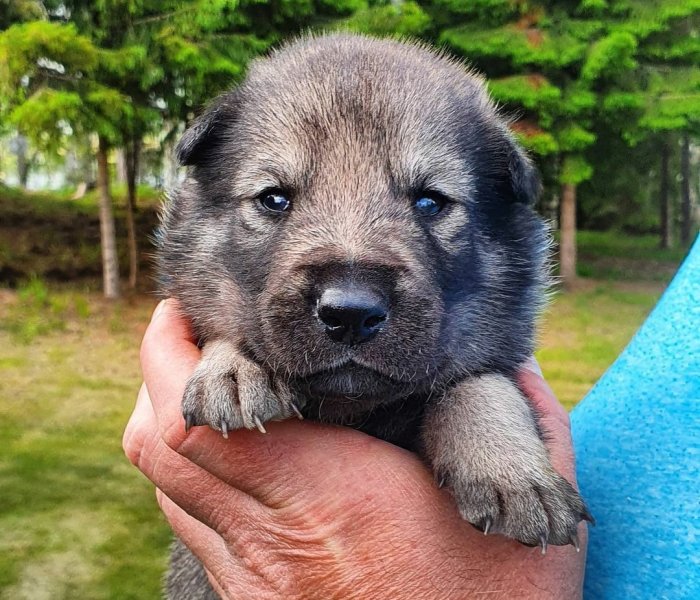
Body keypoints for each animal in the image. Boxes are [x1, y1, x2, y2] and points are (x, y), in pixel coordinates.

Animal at [157, 34, 592, 600]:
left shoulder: (491, 355)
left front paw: (510, 466)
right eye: (274, 198)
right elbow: (225, 329)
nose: (350, 313)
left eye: (430, 201)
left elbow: (481, 384)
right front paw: (234, 371)